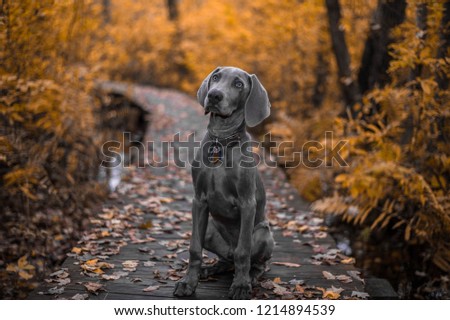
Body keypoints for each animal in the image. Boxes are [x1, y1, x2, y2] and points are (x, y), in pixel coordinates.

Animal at [173, 66, 274, 298]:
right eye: (216, 77)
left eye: (238, 84)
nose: (214, 96)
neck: (222, 140)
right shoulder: (199, 200)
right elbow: (194, 248)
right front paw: (188, 282)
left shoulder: (247, 203)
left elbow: (243, 252)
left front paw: (241, 286)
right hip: (210, 229)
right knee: (226, 260)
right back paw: (209, 269)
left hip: (263, 233)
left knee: (255, 262)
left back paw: (250, 277)